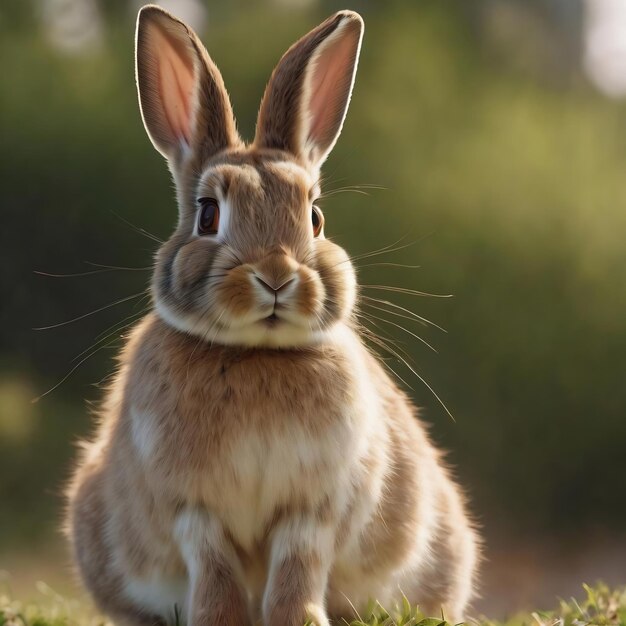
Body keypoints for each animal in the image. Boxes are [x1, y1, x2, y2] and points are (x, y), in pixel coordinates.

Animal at [64, 4, 478, 624]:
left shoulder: (313, 507)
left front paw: (298, 618)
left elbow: (297, 567)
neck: (255, 354)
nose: (277, 276)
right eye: (208, 215)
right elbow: (214, 569)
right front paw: (218, 619)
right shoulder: (194, 509)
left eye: (316, 217)